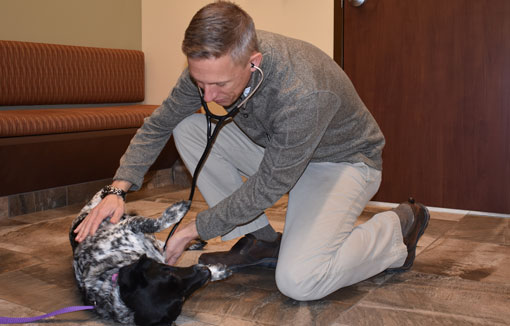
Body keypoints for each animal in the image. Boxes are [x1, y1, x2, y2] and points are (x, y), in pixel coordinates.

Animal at [69, 191, 231, 326]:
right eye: (181, 300)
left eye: (169, 272)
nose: (205, 272)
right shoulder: (127, 227)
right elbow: (157, 224)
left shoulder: (130, 227)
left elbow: (154, 226)